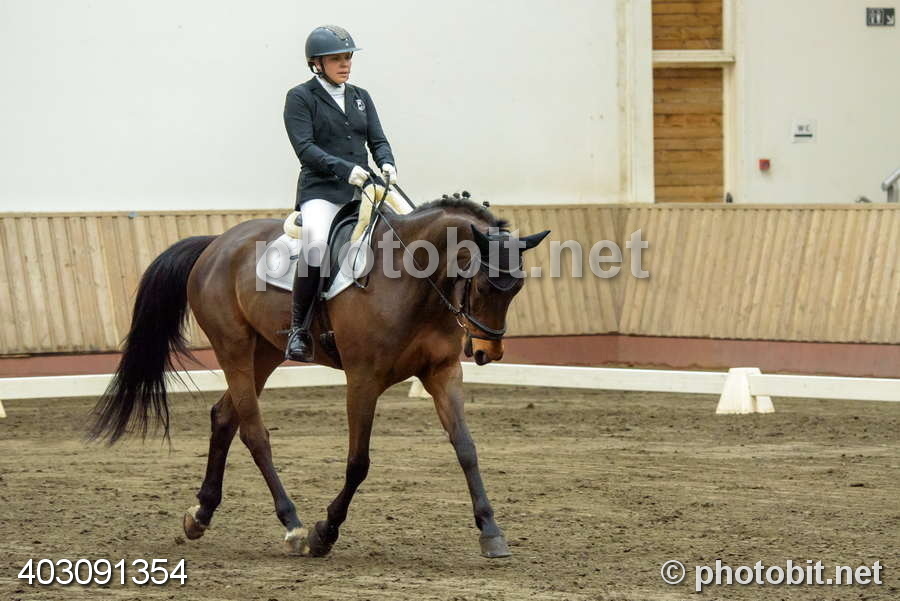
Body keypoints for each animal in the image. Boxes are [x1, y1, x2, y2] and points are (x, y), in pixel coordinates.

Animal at [88, 195, 549, 559]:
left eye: (517, 287)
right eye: (486, 285)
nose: (488, 352)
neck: (413, 277)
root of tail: (216, 244)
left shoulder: (442, 372)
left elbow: (466, 448)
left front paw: (491, 532)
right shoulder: (363, 379)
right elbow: (358, 462)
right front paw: (324, 533)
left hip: (265, 352)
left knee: (224, 417)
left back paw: (200, 515)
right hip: (233, 347)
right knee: (253, 432)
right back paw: (292, 524)